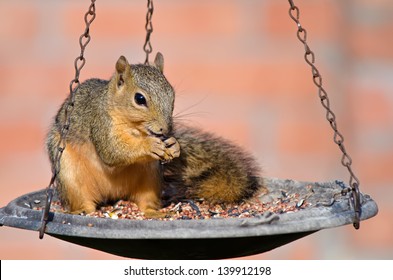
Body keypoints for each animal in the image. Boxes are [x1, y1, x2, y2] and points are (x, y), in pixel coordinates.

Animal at [46, 52, 264, 218]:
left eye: (172, 95)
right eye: (139, 99)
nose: (165, 130)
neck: (135, 129)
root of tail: (114, 194)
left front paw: (174, 145)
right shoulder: (99, 123)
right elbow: (112, 151)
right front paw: (149, 146)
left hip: (151, 176)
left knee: (146, 202)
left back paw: (155, 213)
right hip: (68, 174)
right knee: (83, 201)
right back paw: (82, 210)